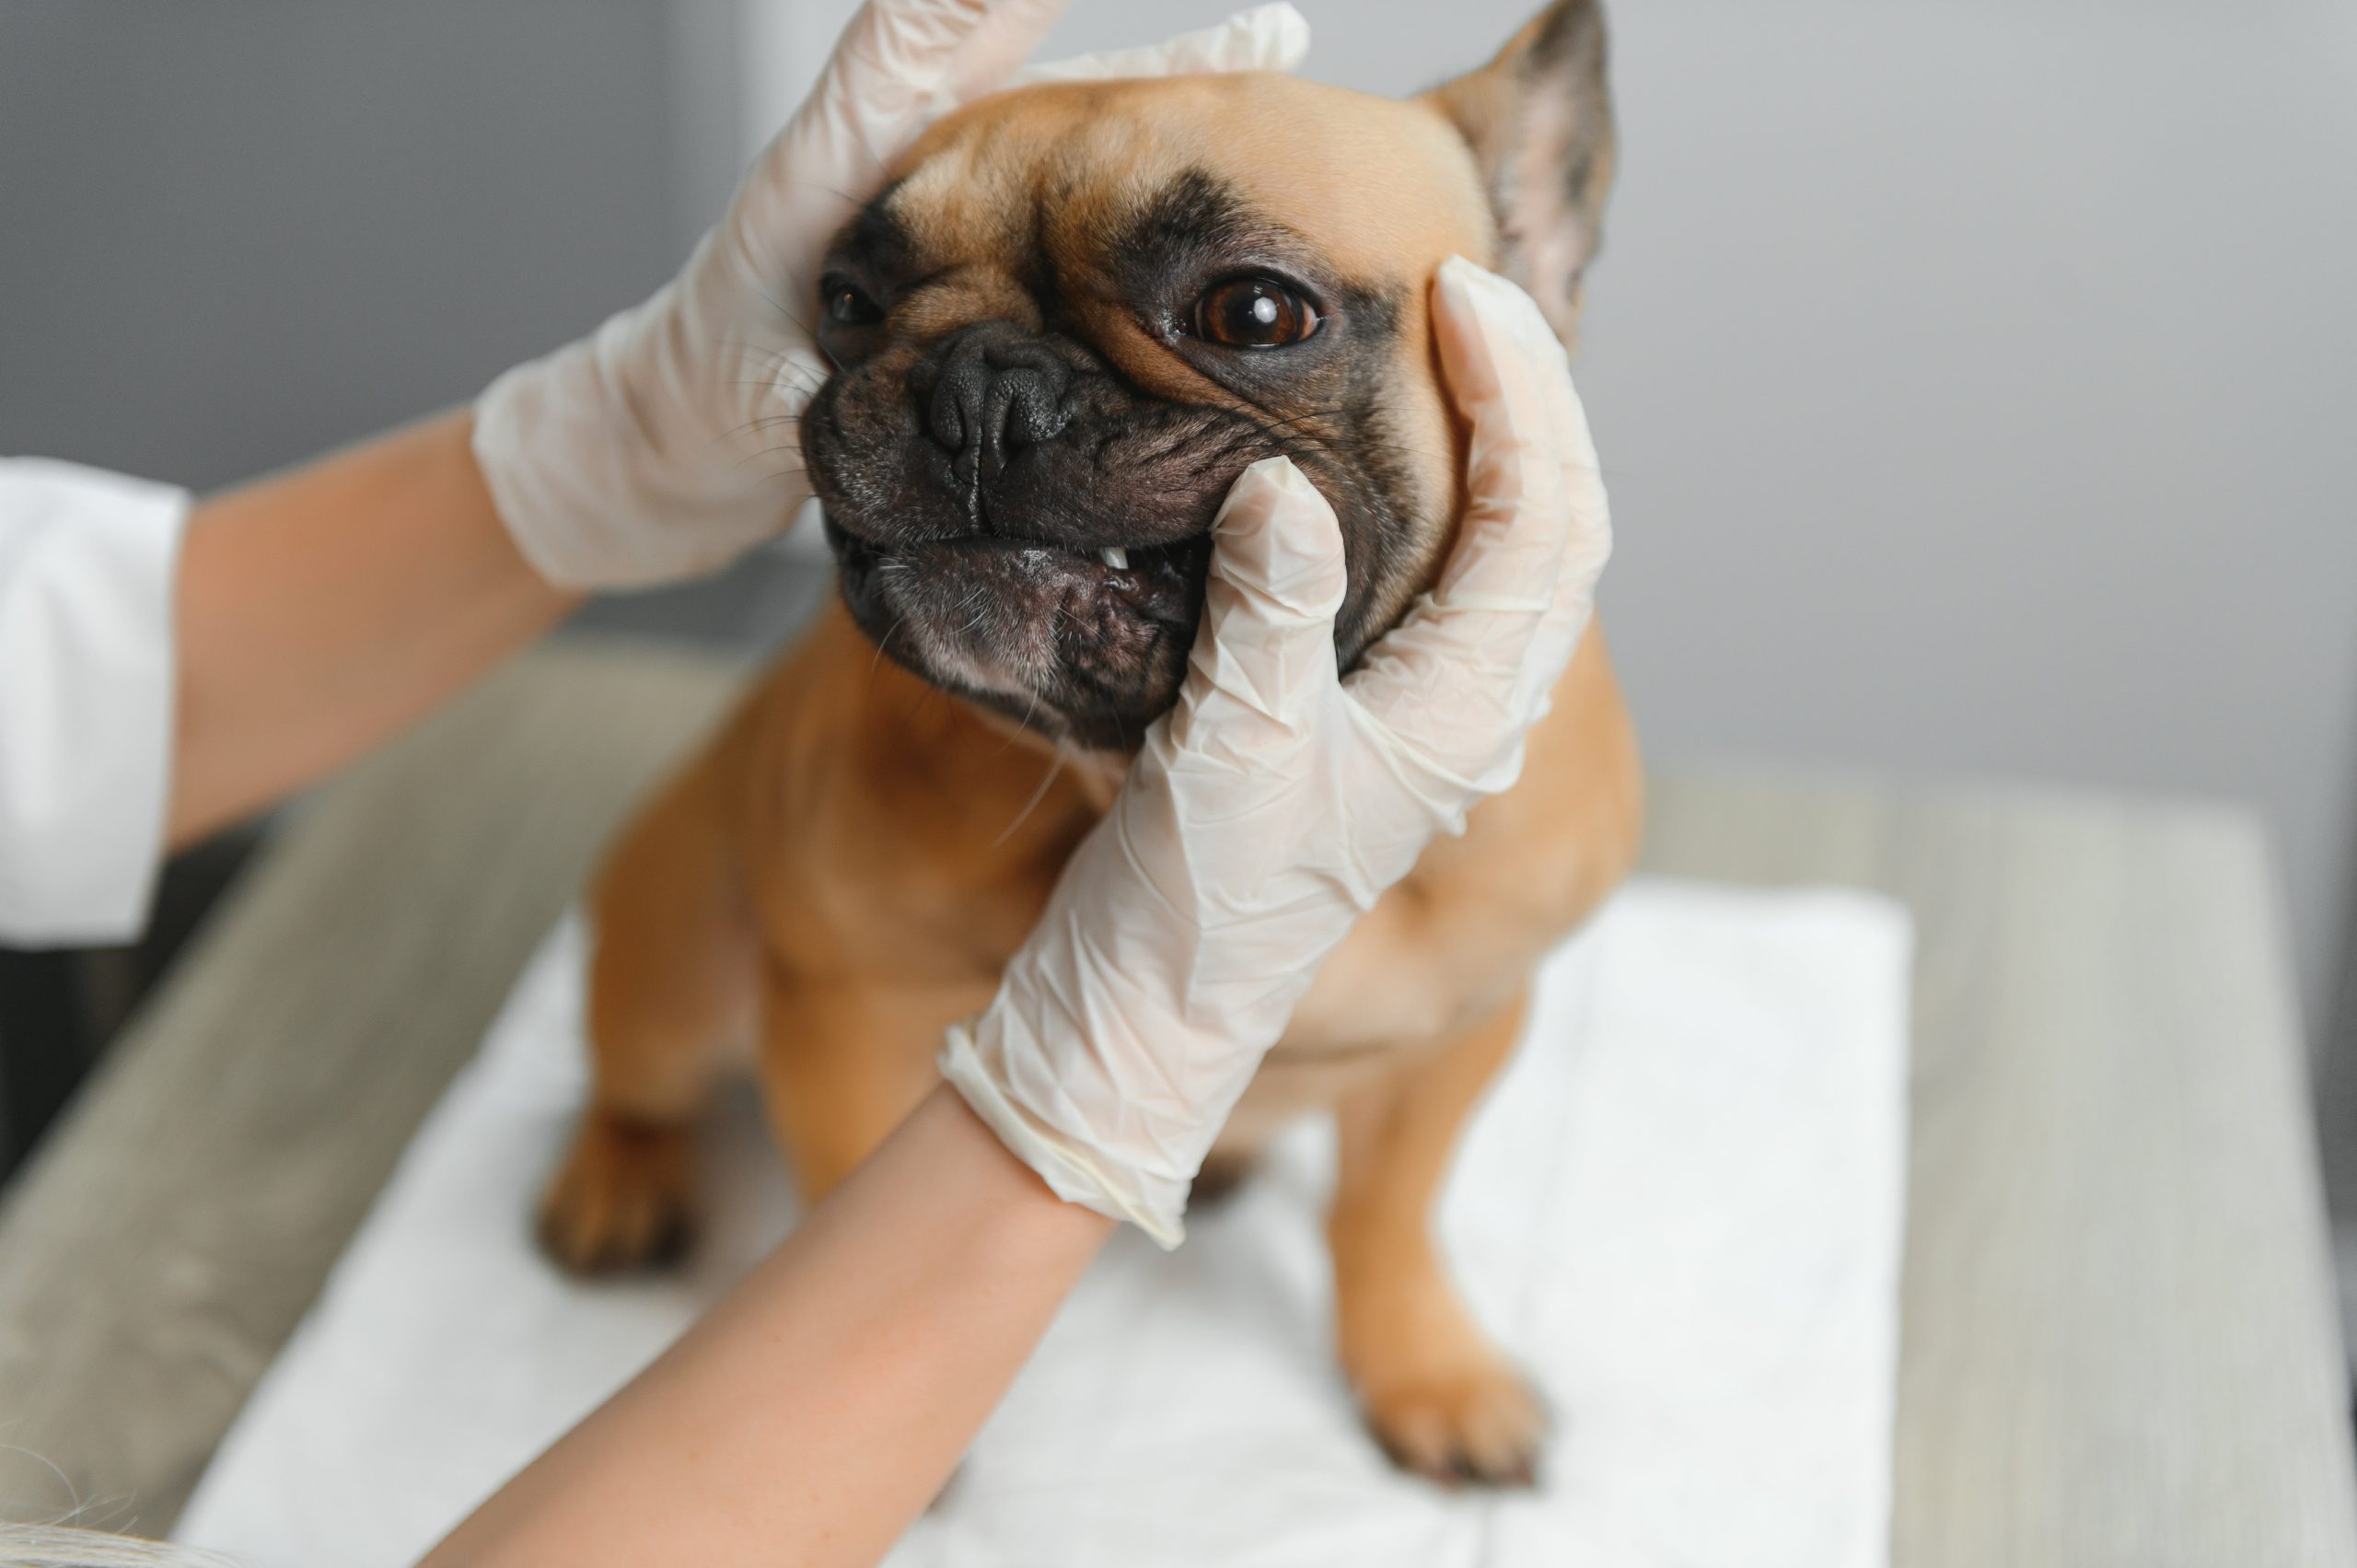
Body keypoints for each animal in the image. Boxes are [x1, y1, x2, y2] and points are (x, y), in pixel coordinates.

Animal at [540, 0, 1640, 1490]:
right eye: (847, 299)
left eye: (1255, 311)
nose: (979, 382)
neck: (1148, 781)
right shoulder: (840, 1017)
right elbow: (848, 1199)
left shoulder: (1464, 1030)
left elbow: (1385, 1212)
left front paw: (1425, 1365)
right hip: (679, 961)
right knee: (633, 1068)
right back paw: (616, 1177)